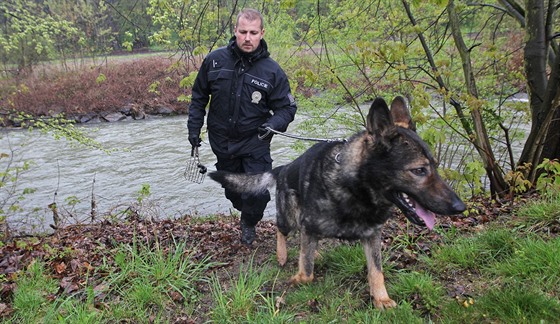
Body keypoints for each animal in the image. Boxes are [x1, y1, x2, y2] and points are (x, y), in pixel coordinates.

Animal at [209, 96, 464, 308]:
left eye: (435, 167)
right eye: (419, 170)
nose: (460, 208)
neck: (356, 190)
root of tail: (284, 168)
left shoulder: (372, 236)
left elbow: (376, 271)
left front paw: (381, 299)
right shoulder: (310, 226)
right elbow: (307, 272)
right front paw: (297, 278)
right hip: (290, 217)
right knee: (282, 230)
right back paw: (282, 255)